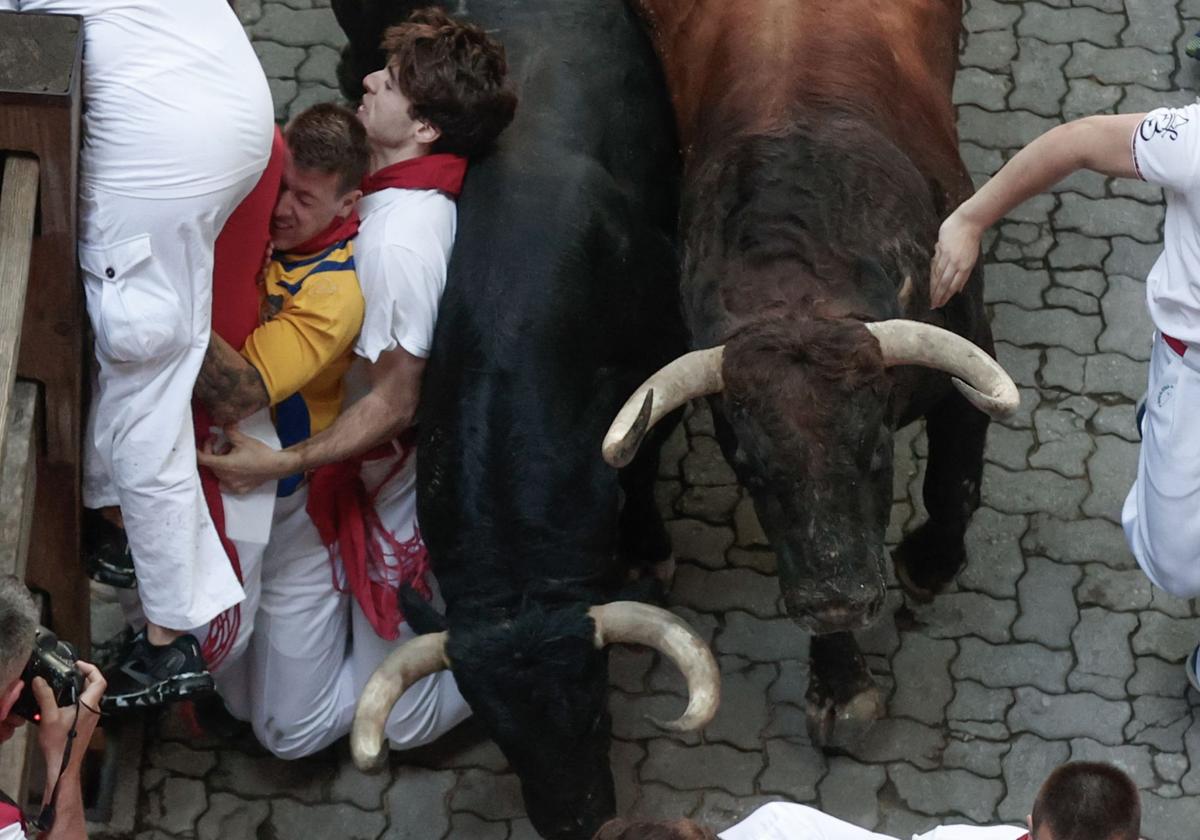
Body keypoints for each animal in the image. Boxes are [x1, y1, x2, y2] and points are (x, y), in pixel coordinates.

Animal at [333, 1, 710, 840]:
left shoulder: (664, 364)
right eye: (502, 737)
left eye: (596, 711)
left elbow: (640, 471)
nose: (577, 822)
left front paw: (650, 550)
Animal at [614, 0, 1017, 739]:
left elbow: (954, 487)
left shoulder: (967, 361)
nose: (836, 602)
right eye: (751, 470)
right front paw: (840, 681)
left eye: (876, 455)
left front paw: (926, 564)